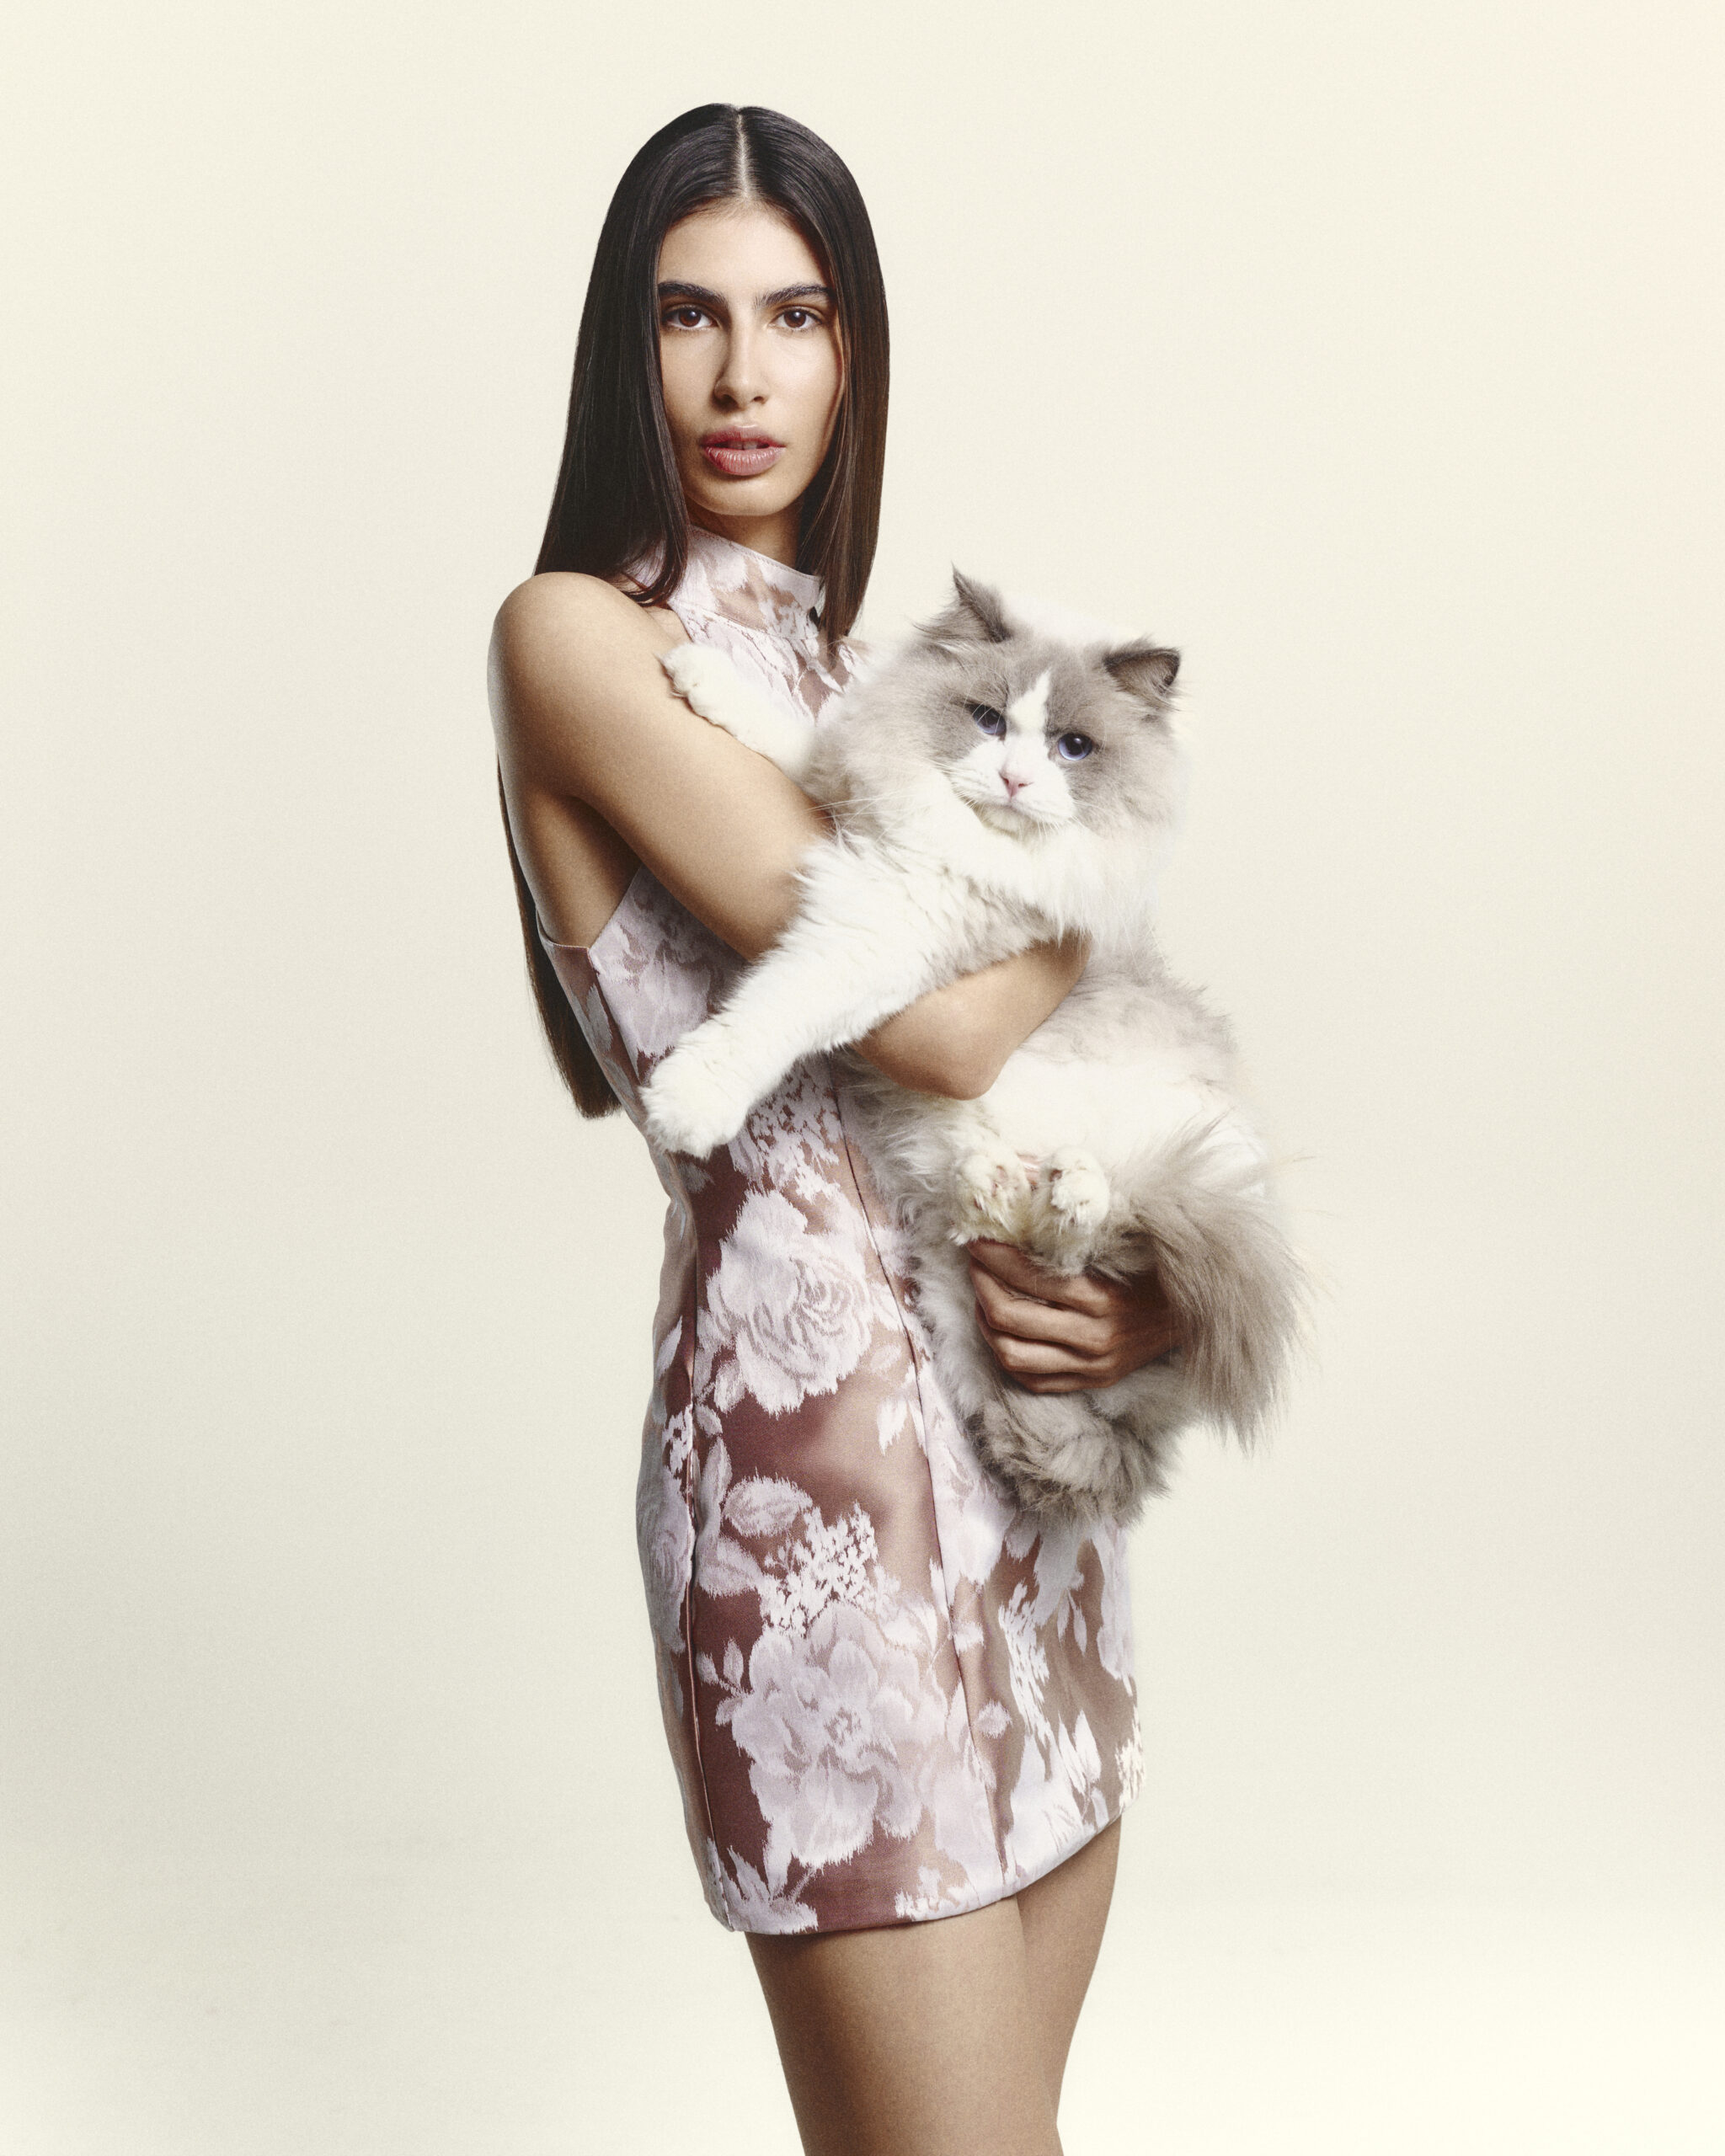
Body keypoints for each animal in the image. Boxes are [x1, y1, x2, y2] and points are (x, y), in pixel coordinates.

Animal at [639, 571, 1306, 1524]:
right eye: (988, 721)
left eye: (1073, 747)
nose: (1015, 778)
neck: (951, 842)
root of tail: (1128, 1442)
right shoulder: (848, 805)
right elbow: (795, 739)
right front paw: (699, 676)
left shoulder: (883, 936)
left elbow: (775, 1009)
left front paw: (687, 1101)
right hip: (961, 1270)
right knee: (1013, 1242)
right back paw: (1000, 1183)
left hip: (1199, 1172)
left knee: (1105, 1244)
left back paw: (1068, 1188)